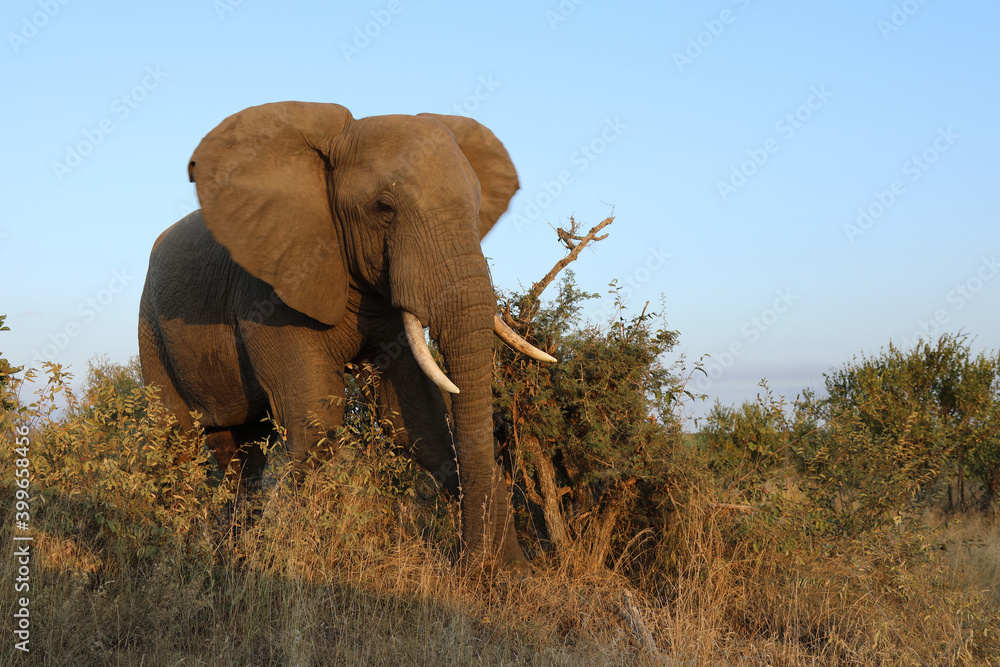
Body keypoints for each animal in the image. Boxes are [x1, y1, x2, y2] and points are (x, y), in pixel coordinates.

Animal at [138, 102, 554, 571]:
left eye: (478, 206)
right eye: (384, 207)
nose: (472, 563)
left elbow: (416, 419)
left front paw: (510, 576)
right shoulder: (269, 286)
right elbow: (317, 418)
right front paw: (301, 566)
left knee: (241, 452)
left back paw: (232, 558)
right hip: (151, 329)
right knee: (175, 442)